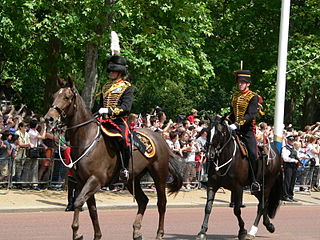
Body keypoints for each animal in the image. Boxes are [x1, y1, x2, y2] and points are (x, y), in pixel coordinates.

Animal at [44, 77, 182, 240]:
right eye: (54, 96)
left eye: (67, 97)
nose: (49, 119)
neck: (87, 139)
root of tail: (161, 139)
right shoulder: (82, 181)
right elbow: (92, 209)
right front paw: (96, 235)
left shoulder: (95, 180)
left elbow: (78, 202)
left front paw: (77, 233)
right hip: (131, 179)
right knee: (143, 200)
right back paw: (137, 232)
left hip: (159, 175)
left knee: (161, 203)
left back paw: (159, 234)